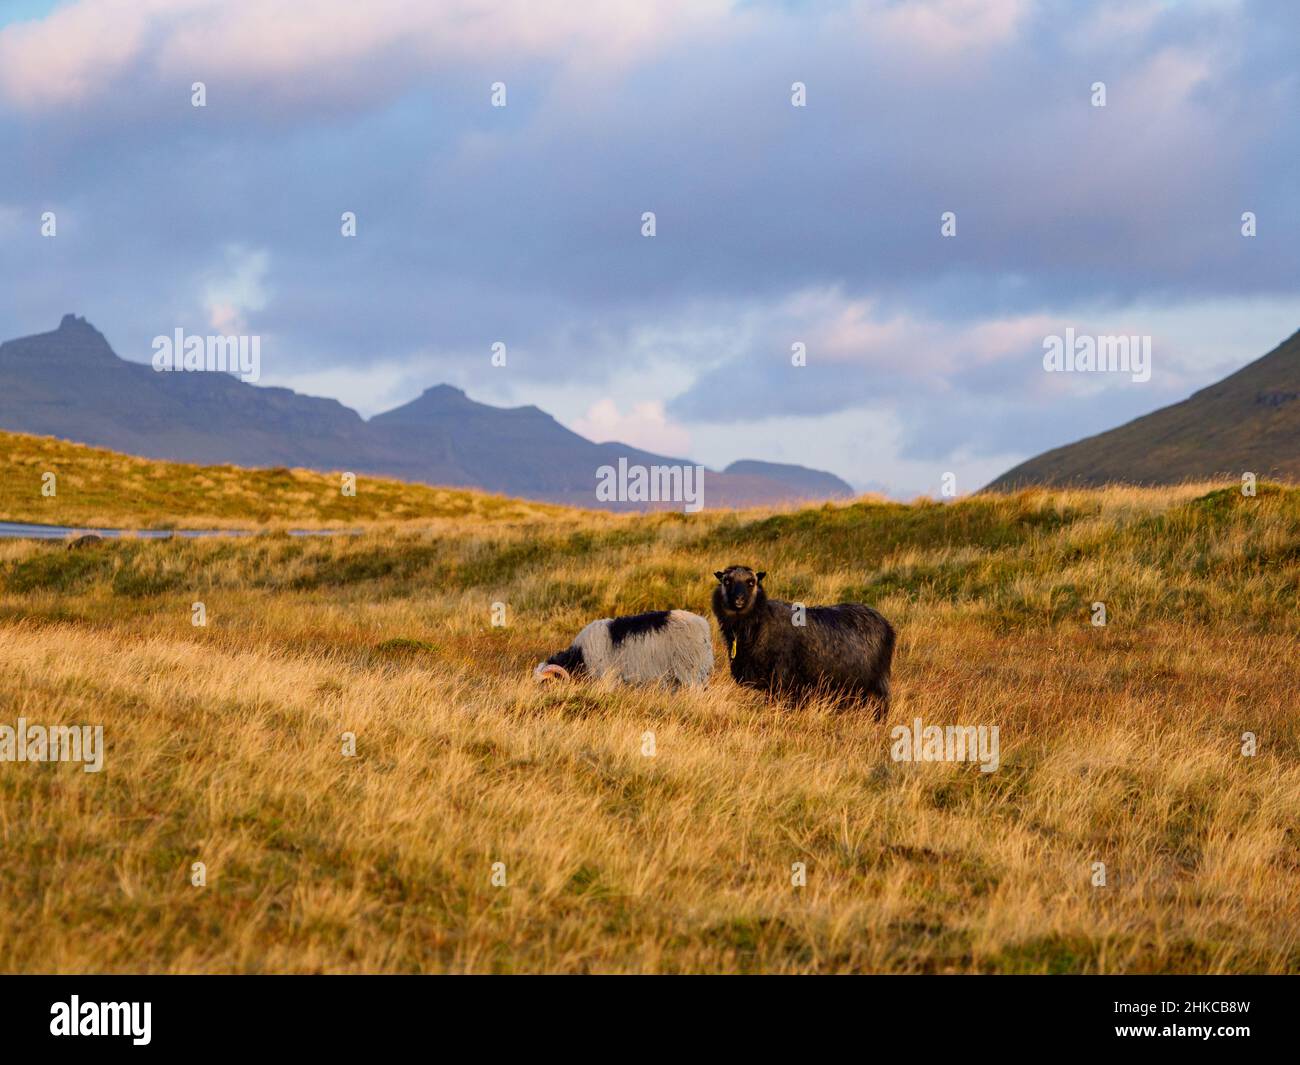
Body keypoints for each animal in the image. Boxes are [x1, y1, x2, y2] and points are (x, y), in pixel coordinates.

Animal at [712, 566, 894, 717]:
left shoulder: (783, 679)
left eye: (751, 582)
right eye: (727, 581)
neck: (759, 622)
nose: (739, 600)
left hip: (876, 682)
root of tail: (886, 624)